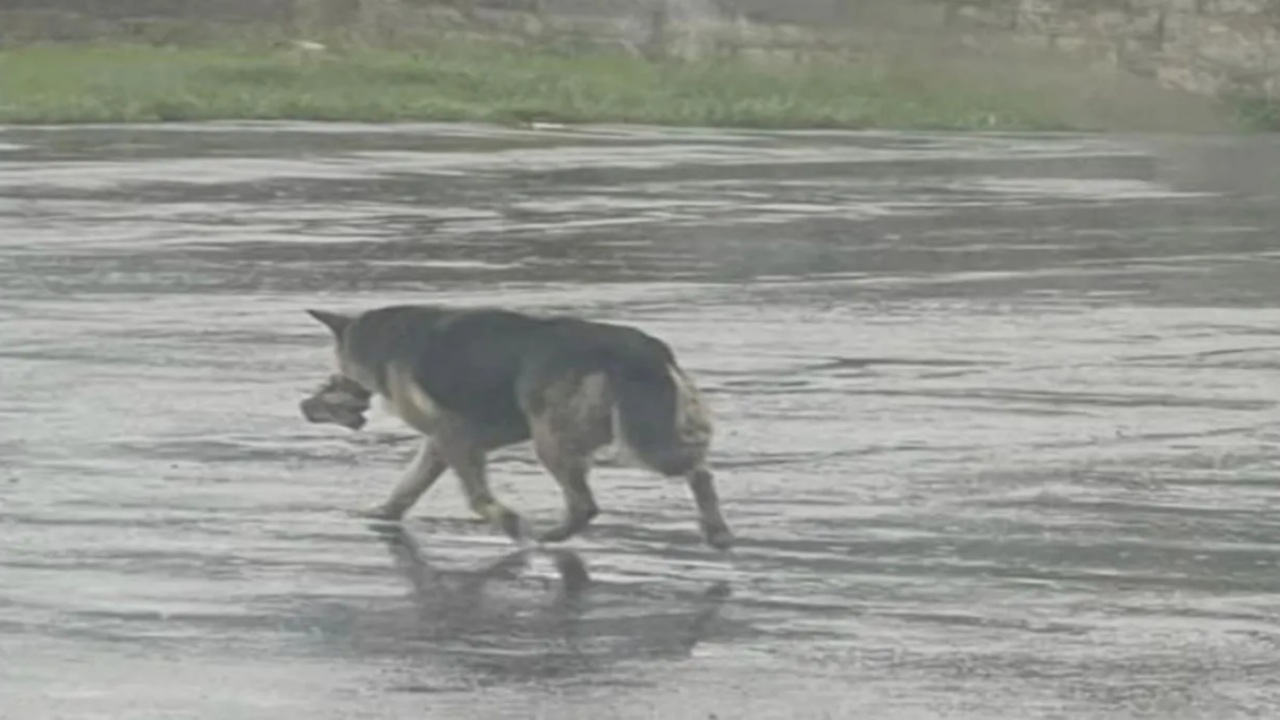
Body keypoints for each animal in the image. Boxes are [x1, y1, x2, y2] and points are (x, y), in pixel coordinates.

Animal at [300, 303, 737, 548]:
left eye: (337, 371)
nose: (308, 405)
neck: (384, 340)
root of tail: (640, 350)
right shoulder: (447, 442)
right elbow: (408, 487)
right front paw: (383, 514)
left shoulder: (455, 437)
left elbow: (477, 496)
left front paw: (509, 523)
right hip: (644, 432)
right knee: (700, 472)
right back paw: (716, 532)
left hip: (560, 441)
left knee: (586, 503)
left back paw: (549, 538)